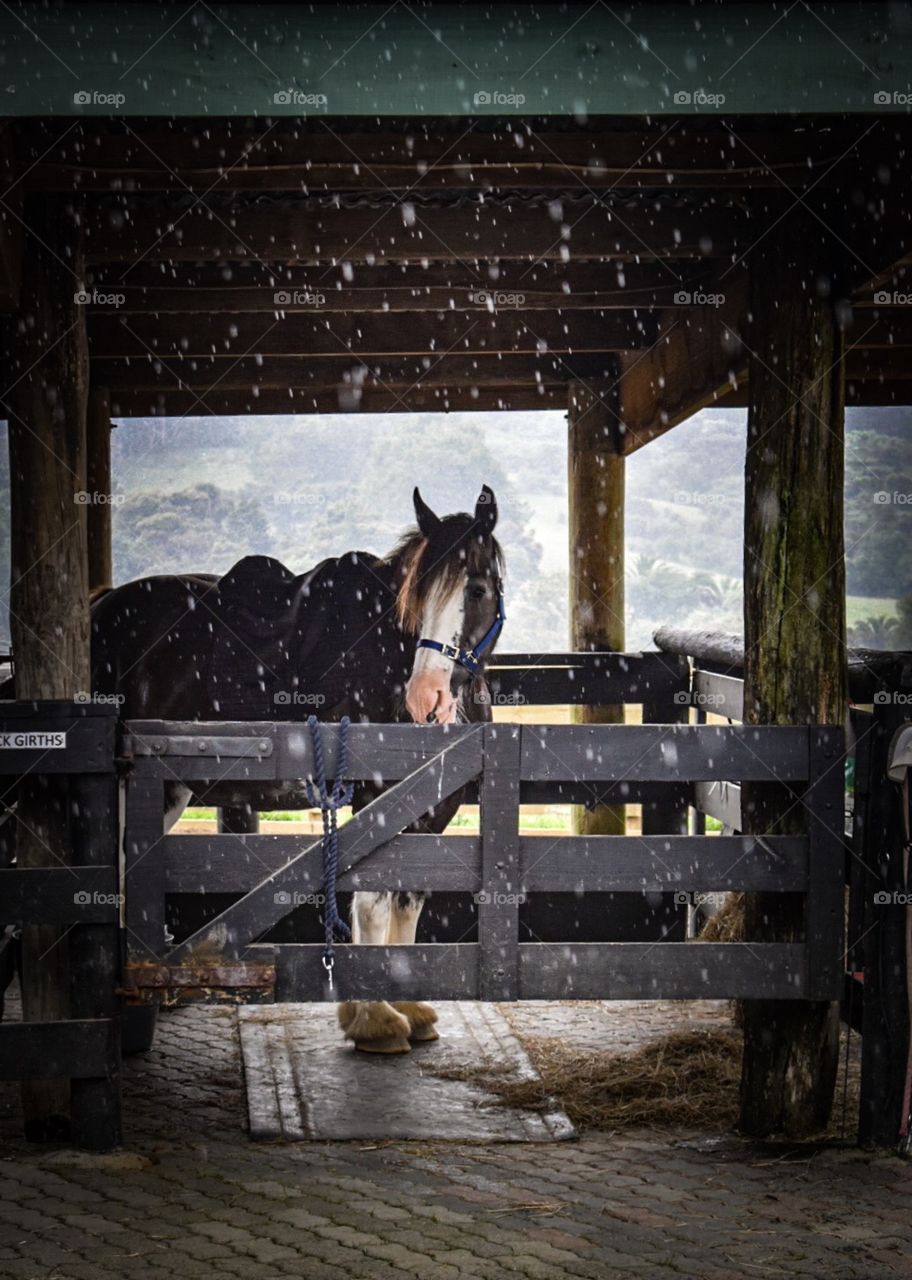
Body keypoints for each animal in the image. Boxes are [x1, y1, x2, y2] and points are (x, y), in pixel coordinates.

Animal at [88, 483, 502, 1054]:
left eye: (478, 589)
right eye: (415, 598)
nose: (426, 697)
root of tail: (102, 605)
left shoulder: (433, 807)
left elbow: (407, 899)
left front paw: (408, 1008)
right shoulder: (377, 799)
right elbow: (372, 904)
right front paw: (375, 1019)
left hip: (167, 792)